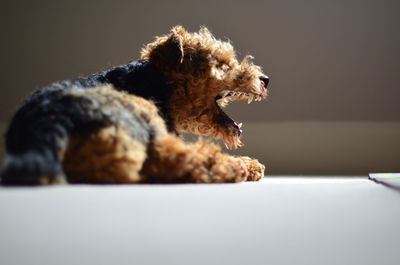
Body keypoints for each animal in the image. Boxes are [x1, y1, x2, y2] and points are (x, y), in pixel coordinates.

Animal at [0, 25, 268, 185]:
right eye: (222, 64)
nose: (265, 79)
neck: (155, 83)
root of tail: (46, 119)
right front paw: (248, 165)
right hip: (143, 121)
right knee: (187, 159)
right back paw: (243, 167)